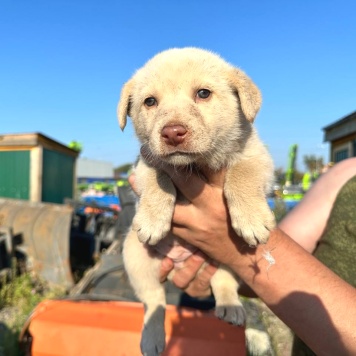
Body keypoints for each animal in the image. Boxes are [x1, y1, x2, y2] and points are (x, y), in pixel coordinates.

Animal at [117, 48, 276, 356]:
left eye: (203, 93)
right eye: (150, 101)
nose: (172, 133)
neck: (195, 165)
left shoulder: (257, 155)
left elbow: (242, 173)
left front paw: (251, 219)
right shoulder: (145, 160)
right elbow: (158, 178)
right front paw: (153, 221)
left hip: (230, 259)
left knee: (223, 282)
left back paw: (231, 308)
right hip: (135, 256)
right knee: (154, 301)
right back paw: (152, 337)